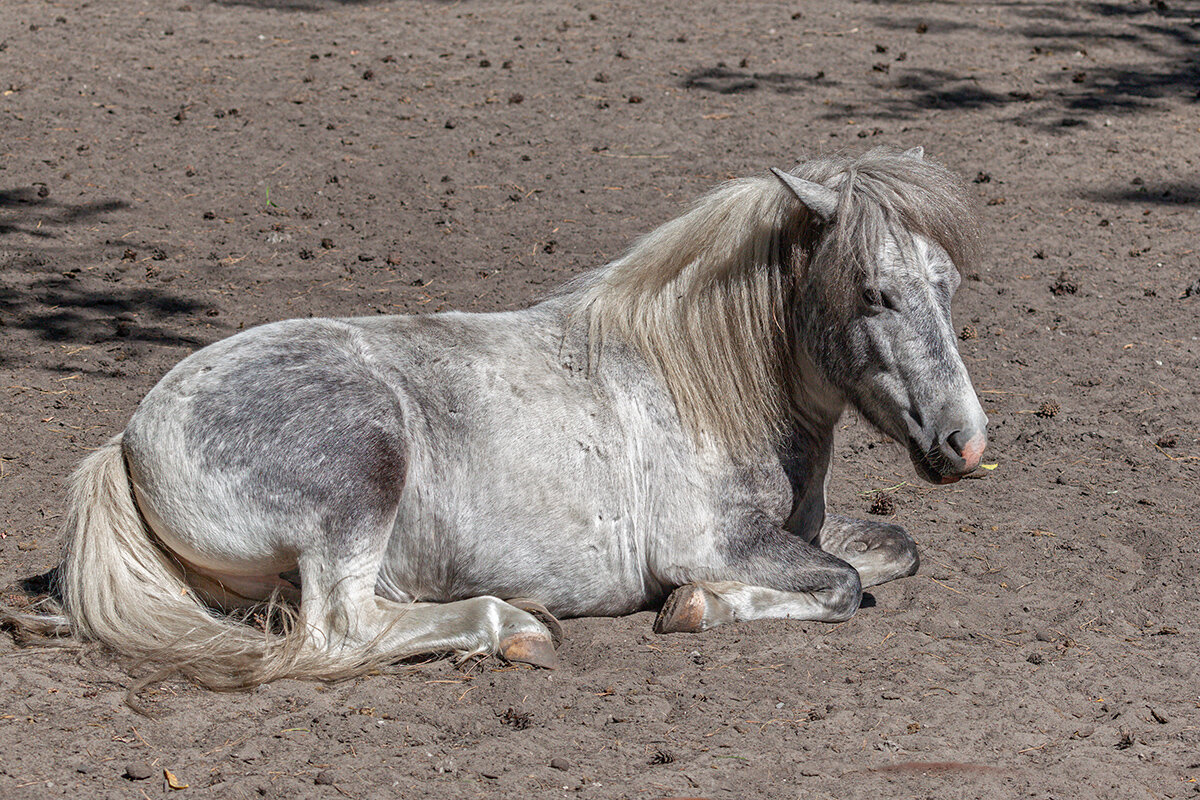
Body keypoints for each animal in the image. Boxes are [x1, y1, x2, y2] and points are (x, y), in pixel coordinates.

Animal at [7, 145, 984, 690]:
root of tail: (130, 441)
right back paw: (510, 628)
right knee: (342, 629)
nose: (965, 444)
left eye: (946, 285)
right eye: (875, 292)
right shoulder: (713, 543)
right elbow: (841, 585)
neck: (703, 383)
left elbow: (890, 552)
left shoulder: (806, 532)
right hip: (363, 475)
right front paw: (695, 609)